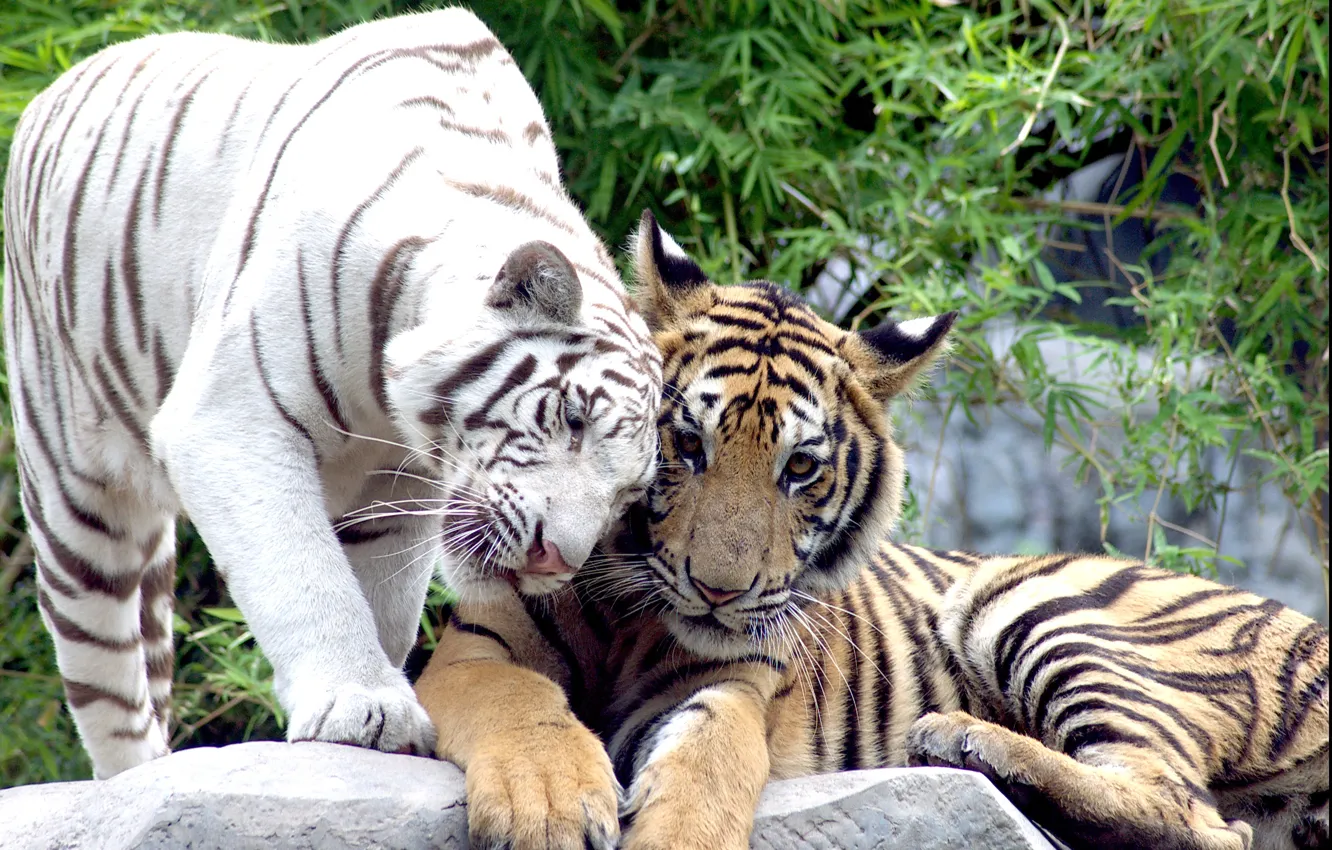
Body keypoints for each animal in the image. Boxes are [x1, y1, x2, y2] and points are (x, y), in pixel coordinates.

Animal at [2, 8, 661, 781]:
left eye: (627, 496)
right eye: (573, 418)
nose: (557, 558)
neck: (387, 399)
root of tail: (61, 78)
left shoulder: (397, 488)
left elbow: (379, 600)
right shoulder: (231, 420)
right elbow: (305, 577)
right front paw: (360, 707)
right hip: (73, 499)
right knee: (108, 685)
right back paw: (137, 779)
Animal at [414, 210, 1330, 850]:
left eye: (800, 468)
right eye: (687, 443)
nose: (718, 591)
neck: (629, 617)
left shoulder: (733, 686)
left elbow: (708, 773)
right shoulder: (473, 649)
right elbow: (524, 704)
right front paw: (547, 809)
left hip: (1032, 602)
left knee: (1196, 815)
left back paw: (964, 742)